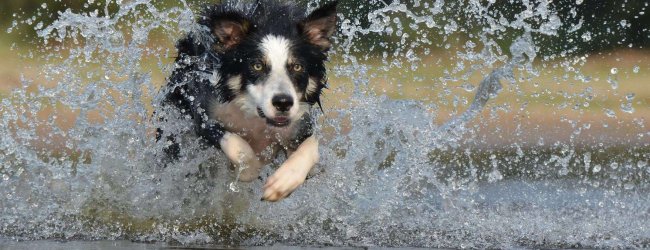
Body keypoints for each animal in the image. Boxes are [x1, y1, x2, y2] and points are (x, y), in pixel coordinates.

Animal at [158, 0, 340, 202]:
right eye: (257, 66)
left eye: (297, 67)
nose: (283, 103)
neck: (255, 116)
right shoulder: (204, 115)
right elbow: (237, 145)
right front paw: (248, 170)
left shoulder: (300, 124)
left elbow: (312, 146)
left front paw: (283, 182)